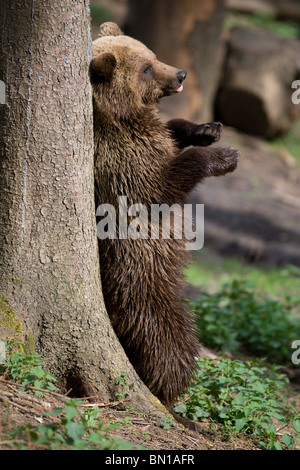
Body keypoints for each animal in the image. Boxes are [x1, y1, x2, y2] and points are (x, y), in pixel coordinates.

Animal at [90, 22, 238, 404]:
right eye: (146, 68)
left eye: (152, 55)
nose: (180, 73)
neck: (124, 117)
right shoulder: (121, 163)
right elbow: (160, 187)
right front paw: (225, 156)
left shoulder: (150, 136)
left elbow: (172, 132)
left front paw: (206, 129)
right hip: (144, 280)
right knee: (168, 336)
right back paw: (172, 388)